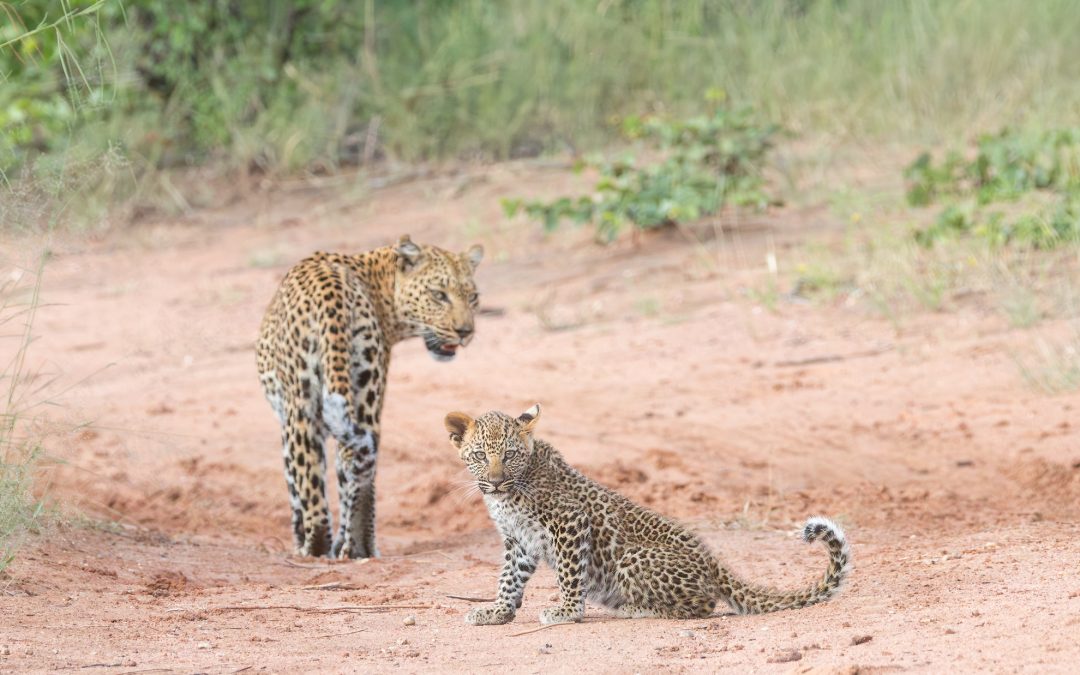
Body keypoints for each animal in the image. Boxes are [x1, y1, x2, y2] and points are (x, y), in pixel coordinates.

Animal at [257, 234, 483, 559]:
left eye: (472, 297)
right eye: (439, 295)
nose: (465, 332)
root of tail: (331, 290)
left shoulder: (285, 417)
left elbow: (293, 481)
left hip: (302, 405)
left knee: (315, 473)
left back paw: (316, 547)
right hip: (365, 390)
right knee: (361, 459)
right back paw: (358, 547)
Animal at [444, 404, 851, 625]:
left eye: (509, 455)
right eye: (479, 456)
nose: (496, 481)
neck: (511, 493)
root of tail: (712, 562)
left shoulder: (570, 524)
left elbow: (569, 575)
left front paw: (567, 611)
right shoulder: (518, 540)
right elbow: (508, 579)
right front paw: (497, 612)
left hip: (632, 557)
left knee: (702, 605)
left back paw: (634, 609)